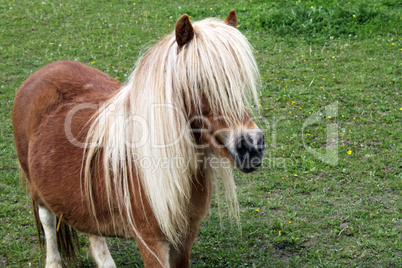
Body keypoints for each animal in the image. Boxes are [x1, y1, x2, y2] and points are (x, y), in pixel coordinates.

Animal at [12, 9, 266, 266]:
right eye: (197, 83)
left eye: (240, 80)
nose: (252, 146)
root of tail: (44, 71)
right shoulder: (151, 242)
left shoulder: (185, 237)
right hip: (36, 187)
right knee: (47, 221)